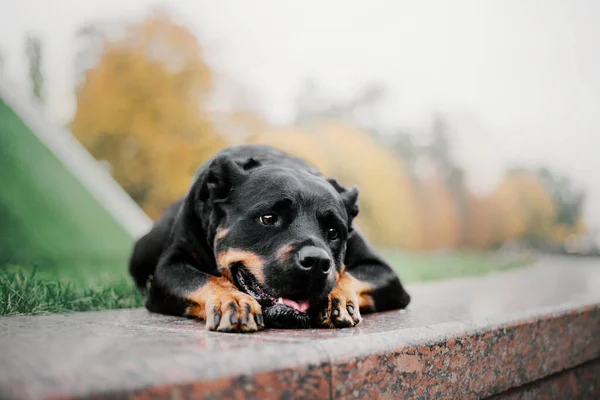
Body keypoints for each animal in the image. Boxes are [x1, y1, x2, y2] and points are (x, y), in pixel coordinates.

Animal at [128, 144, 410, 332]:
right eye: (268, 218)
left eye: (333, 233)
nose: (317, 262)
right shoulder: (170, 269)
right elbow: (202, 279)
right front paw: (231, 299)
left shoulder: (384, 272)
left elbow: (349, 275)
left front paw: (336, 298)